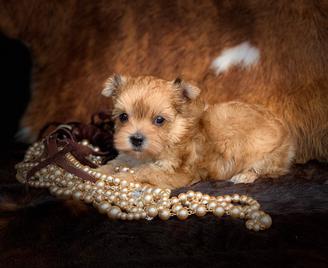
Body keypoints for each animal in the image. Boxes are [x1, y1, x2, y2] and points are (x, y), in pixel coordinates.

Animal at [98, 74, 294, 189]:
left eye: (159, 120)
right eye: (123, 117)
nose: (136, 139)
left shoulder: (177, 172)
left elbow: (144, 171)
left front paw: (121, 177)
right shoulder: (128, 157)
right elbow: (115, 164)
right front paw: (100, 171)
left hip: (266, 153)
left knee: (265, 169)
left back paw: (244, 176)